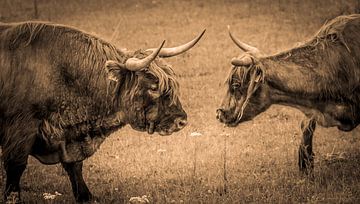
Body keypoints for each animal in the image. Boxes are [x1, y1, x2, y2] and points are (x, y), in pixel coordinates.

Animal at [0, 21, 205, 203]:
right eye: (154, 87)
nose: (181, 121)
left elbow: (75, 166)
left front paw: (85, 196)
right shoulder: (20, 130)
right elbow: (16, 167)